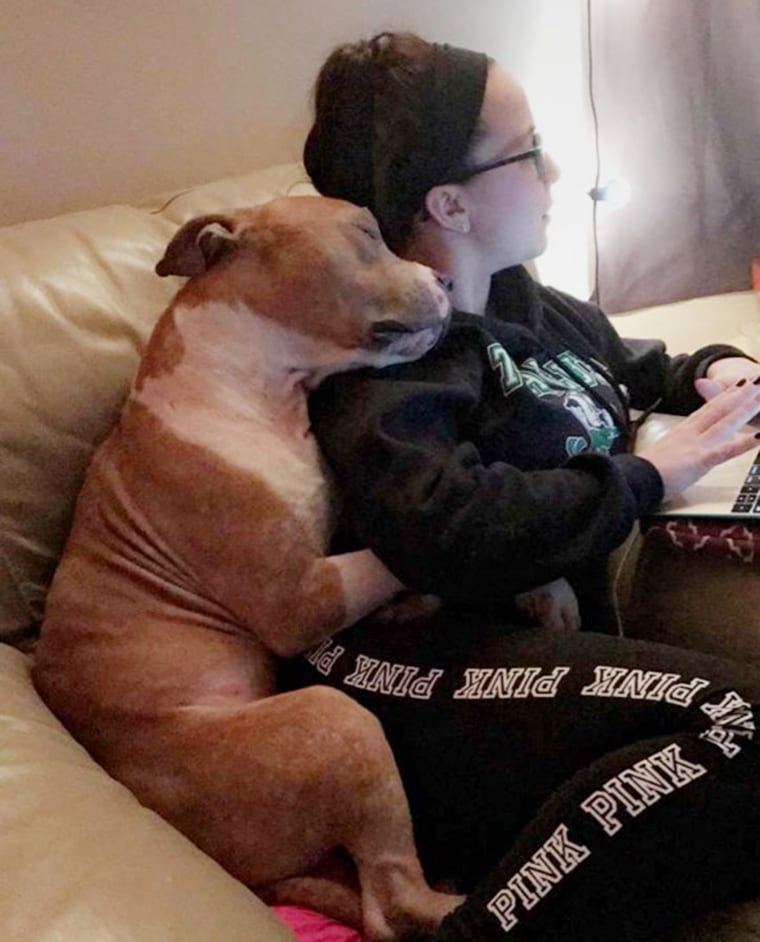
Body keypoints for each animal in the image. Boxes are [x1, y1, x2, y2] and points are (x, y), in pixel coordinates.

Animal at [34, 195, 458, 940]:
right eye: (366, 231)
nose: (446, 280)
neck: (252, 383)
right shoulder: (302, 596)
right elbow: (387, 558)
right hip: (334, 723)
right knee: (391, 901)